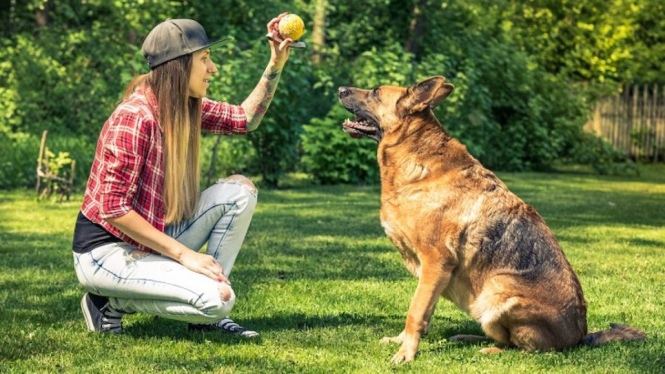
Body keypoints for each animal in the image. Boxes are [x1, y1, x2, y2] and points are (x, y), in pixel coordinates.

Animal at [338, 76, 644, 362]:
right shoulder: (433, 274)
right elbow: (424, 311)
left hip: (496, 291)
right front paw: (403, 341)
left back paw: (489, 350)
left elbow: (415, 311)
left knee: (523, 348)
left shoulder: (436, 263)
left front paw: (406, 353)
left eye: (375, 92)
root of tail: (580, 337)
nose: (340, 89)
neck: (416, 158)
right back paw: (469, 338)